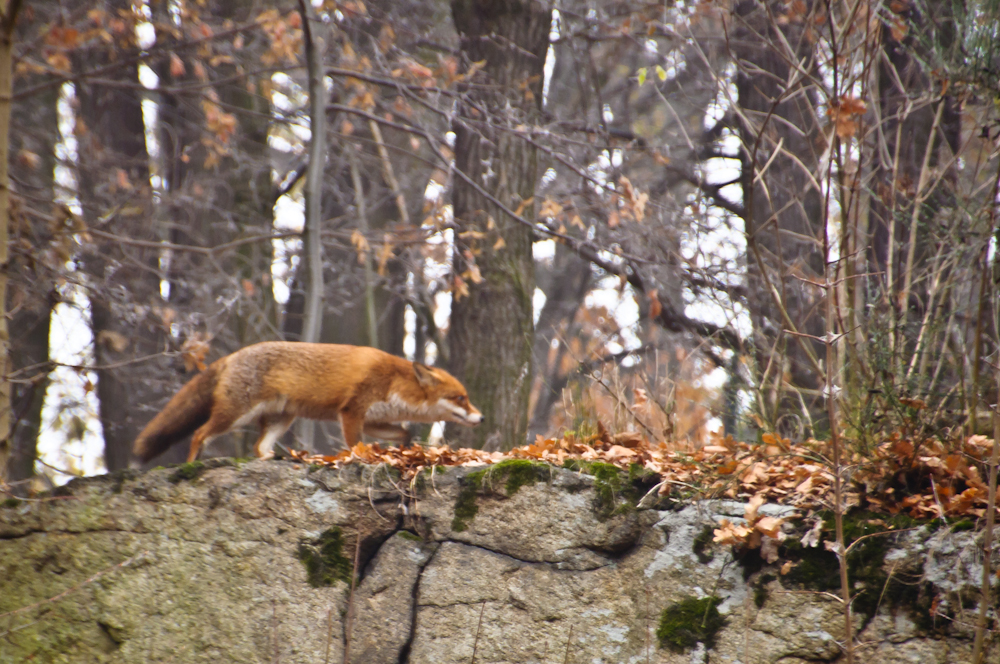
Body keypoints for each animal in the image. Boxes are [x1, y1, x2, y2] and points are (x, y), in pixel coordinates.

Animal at [133, 342, 484, 462]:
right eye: (461, 398)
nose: (480, 418)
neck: (394, 382)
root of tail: (231, 356)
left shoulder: (374, 418)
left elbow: (404, 433)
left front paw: (404, 448)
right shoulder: (352, 411)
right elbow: (355, 445)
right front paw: (363, 458)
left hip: (281, 420)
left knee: (258, 448)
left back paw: (270, 459)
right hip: (234, 415)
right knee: (198, 435)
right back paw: (189, 467)